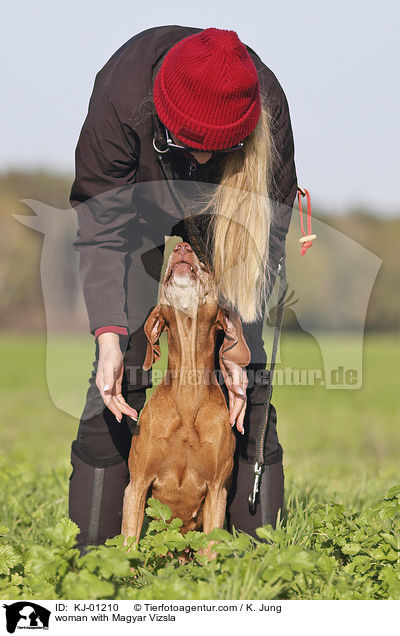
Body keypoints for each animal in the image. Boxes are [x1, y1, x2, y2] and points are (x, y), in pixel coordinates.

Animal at [122, 242, 248, 540]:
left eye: (205, 267)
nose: (181, 246)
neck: (188, 394)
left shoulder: (217, 491)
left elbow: (210, 546)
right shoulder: (136, 485)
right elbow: (128, 542)